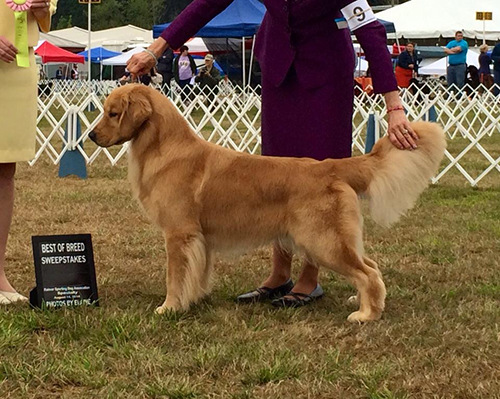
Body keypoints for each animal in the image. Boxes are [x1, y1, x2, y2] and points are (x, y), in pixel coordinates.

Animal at [89, 85, 446, 324]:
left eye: (112, 113)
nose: (91, 136)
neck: (166, 148)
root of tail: (330, 166)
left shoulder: (179, 234)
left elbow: (174, 276)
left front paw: (170, 307)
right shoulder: (199, 239)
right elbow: (197, 273)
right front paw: (196, 298)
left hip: (322, 240)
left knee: (367, 272)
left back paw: (366, 314)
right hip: (335, 238)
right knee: (370, 266)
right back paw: (362, 302)